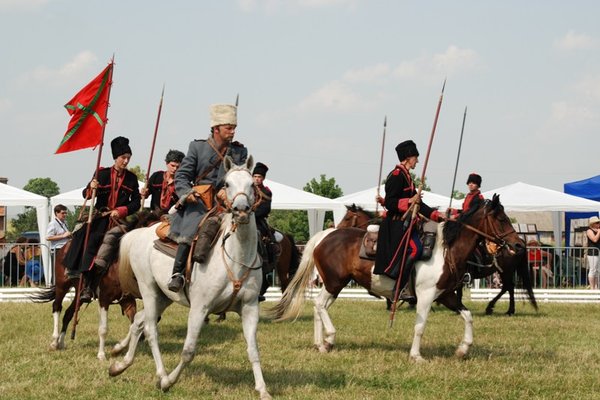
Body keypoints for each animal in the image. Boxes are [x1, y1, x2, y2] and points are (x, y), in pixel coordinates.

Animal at [108, 156, 272, 400]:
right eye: (227, 184)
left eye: (252, 184)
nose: (241, 210)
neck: (235, 257)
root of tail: (139, 233)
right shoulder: (199, 309)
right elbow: (188, 351)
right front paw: (168, 382)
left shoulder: (250, 308)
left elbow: (253, 349)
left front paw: (262, 389)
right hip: (148, 290)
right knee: (150, 330)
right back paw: (160, 374)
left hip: (163, 296)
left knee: (138, 322)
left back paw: (120, 364)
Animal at [270, 195, 524, 360]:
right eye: (501, 219)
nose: (519, 245)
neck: (446, 249)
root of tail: (325, 235)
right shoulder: (426, 296)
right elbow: (420, 326)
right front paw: (416, 356)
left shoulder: (446, 295)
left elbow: (468, 316)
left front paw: (463, 349)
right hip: (334, 283)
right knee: (319, 305)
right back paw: (329, 339)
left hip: (334, 285)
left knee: (318, 307)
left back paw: (320, 343)